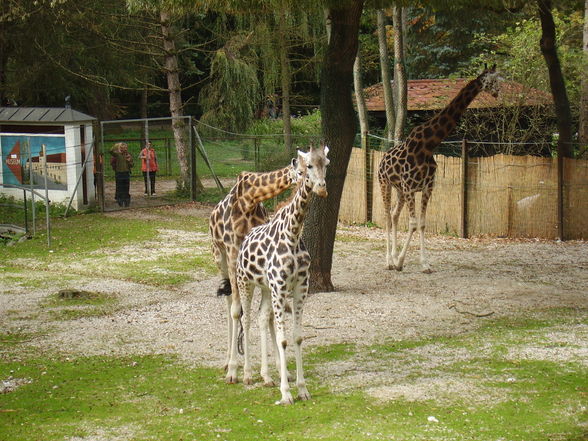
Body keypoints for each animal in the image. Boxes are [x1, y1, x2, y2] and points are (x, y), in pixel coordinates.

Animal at [209, 161, 298, 368]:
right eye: (302, 169)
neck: (249, 199)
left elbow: (269, 313)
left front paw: (279, 365)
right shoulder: (233, 251)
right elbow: (236, 311)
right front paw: (234, 366)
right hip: (220, 257)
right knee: (229, 301)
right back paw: (228, 360)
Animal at [231, 143, 330, 404]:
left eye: (326, 163)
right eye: (308, 166)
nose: (322, 188)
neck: (293, 233)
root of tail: (245, 238)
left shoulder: (300, 286)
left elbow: (296, 337)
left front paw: (302, 389)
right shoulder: (280, 285)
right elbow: (282, 338)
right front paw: (286, 393)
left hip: (266, 288)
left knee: (261, 317)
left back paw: (266, 376)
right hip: (246, 282)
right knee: (245, 318)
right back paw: (246, 375)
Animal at [378, 65, 504, 272]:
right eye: (492, 80)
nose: (497, 94)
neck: (428, 145)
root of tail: (382, 160)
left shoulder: (427, 187)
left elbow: (421, 224)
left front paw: (424, 264)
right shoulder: (411, 187)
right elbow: (413, 223)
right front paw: (402, 262)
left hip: (400, 190)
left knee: (395, 215)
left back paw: (394, 257)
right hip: (385, 184)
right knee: (387, 215)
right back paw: (389, 261)